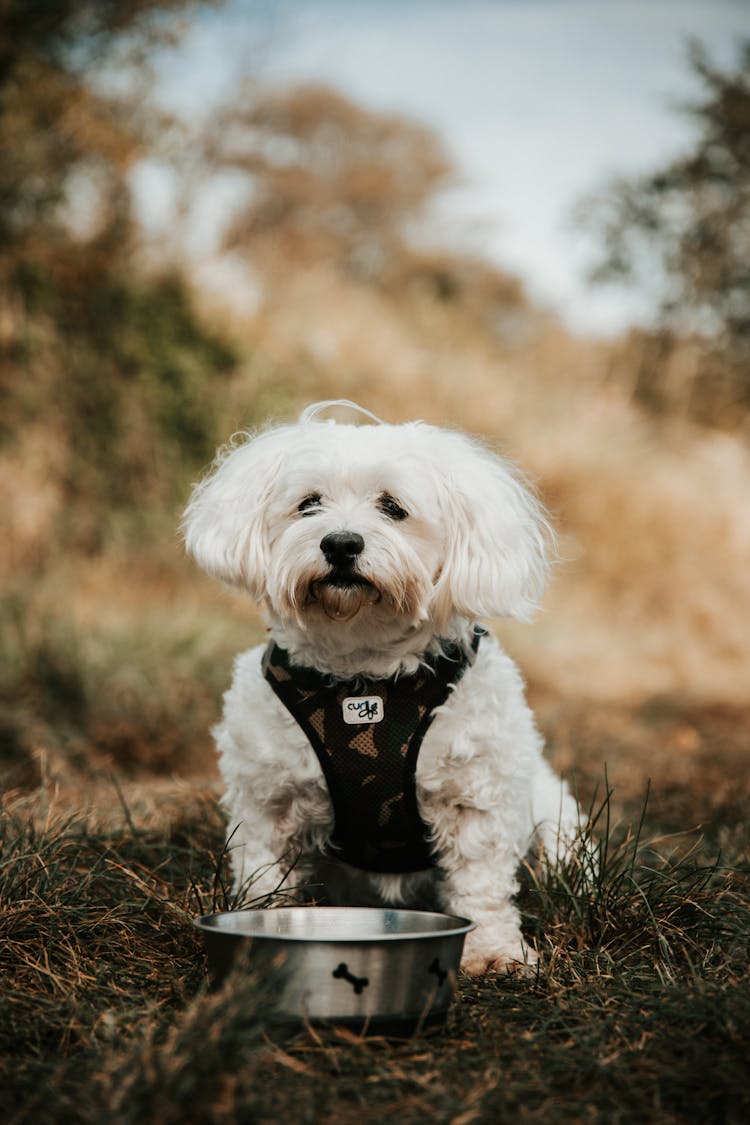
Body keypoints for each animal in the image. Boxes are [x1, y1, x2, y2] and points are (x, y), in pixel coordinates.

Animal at [184, 402, 584, 976]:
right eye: (309, 504)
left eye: (393, 507)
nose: (340, 542)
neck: (362, 676)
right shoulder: (269, 801)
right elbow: (264, 876)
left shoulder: (475, 799)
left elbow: (481, 884)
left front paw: (493, 952)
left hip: (557, 819)